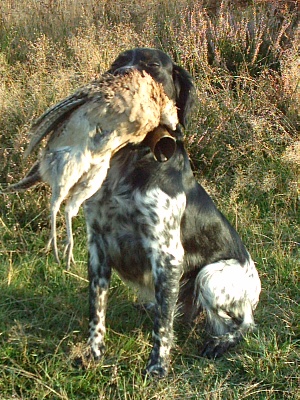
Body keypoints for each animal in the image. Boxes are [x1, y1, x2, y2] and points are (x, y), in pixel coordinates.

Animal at [84, 48, 260, 376]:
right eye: (117, 62)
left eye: (152, 65)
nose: (118, 77)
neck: (131, 160)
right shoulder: (97, 246)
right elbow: (96, 311)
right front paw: (93, 353)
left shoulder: (167, 254)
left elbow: (162, 327)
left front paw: (157, 368)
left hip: (210, 276)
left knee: (244, 323)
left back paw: (221, 343)